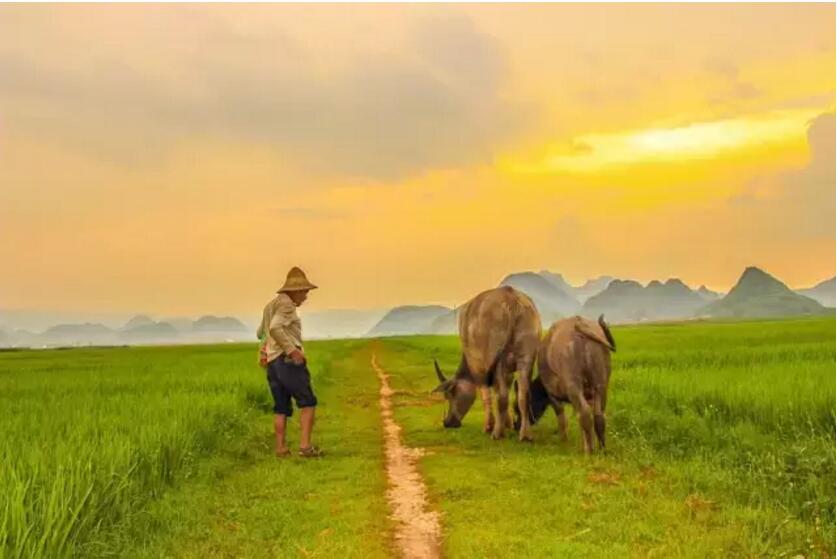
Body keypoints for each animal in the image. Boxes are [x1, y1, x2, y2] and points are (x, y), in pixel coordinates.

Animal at [432, 288, 544, 442]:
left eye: (450, 395)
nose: (448, 423)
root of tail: (511, 299)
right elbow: (506, 388)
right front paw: (507, 423)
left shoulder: (478, 368)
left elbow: (486, 394)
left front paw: (489, 426)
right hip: (527, 356)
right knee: (523, 394)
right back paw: (525, 434)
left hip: (496, 358)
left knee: (501, 396)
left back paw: (497, 433)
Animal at [512, 316, 616, 456]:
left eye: (516, 408)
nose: (516, 426)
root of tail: (580, 326)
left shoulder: (552, 395)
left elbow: (562, 419)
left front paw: (564, 441)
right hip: (601, 384)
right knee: (598, 416)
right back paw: (601, 449)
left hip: (573, 384)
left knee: (585, 414)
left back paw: (589, 452)